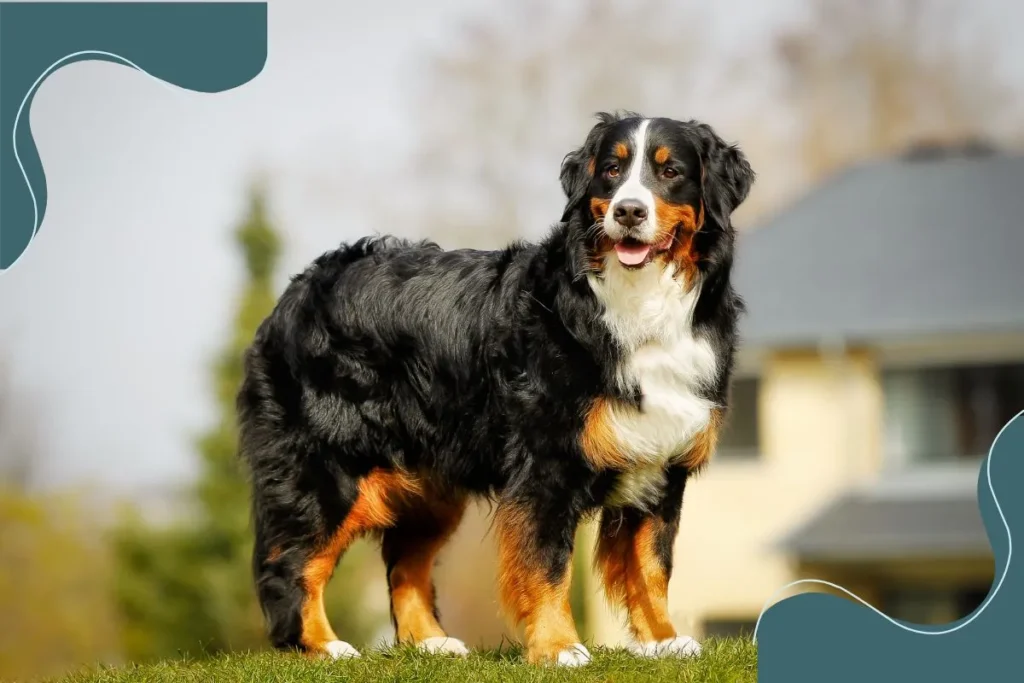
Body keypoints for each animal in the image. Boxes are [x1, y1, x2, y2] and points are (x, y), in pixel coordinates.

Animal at [237, 112, 753, 667]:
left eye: (671, 171)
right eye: (612, 171)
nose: (629, 211)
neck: (638, 304)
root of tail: (299, 288)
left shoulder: (661, 463)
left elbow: (652, 566)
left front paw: (663, 640)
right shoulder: (546, 465)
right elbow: (548, 563)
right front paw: (558, 647)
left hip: (431, 484)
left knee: (405, 562)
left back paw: (431, 642)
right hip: (328, 468)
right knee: (292, 562)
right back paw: (322, 646)